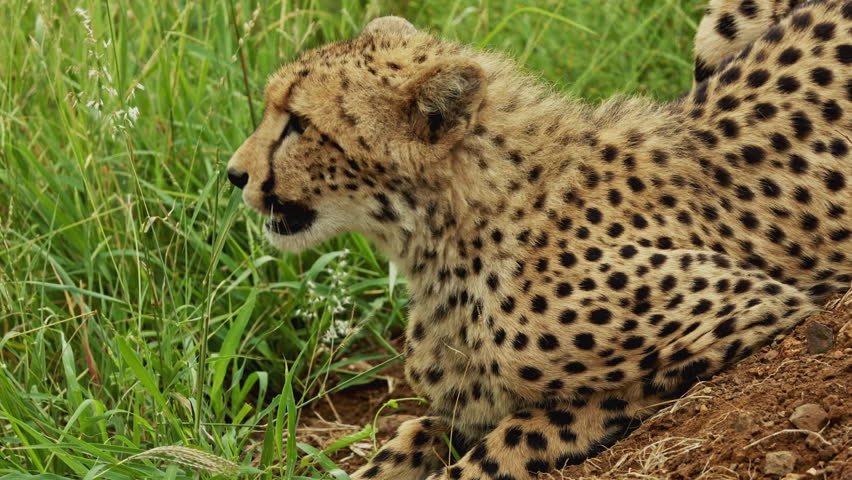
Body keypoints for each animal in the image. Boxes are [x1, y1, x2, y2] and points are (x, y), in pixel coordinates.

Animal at [226, 1, 851, 478]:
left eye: (299, 124)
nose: (234, 174)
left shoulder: (751, 311)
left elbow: (508, 442)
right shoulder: (459, 408)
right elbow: (411, 434)